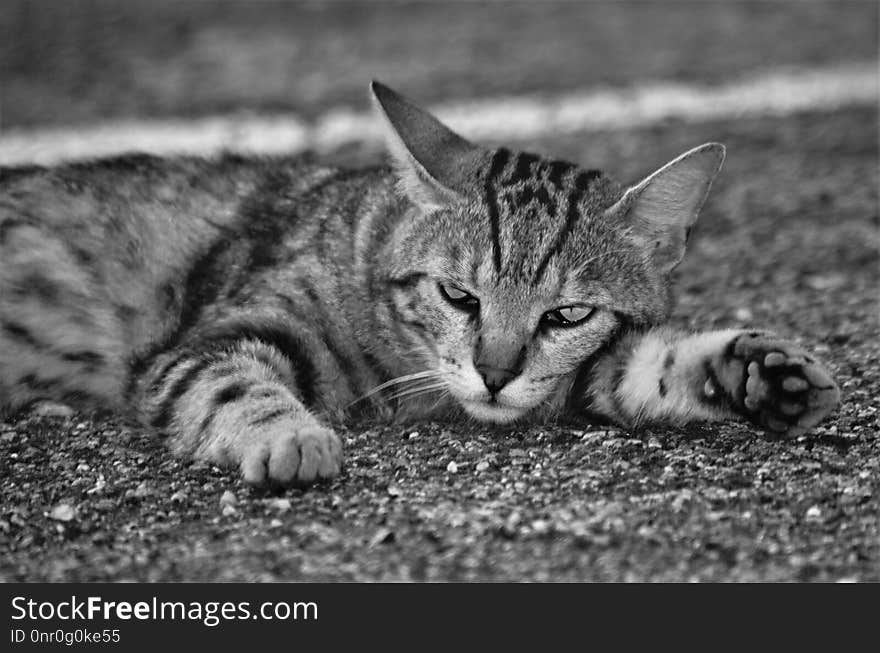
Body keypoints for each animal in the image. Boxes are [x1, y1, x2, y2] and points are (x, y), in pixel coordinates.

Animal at [0, 81, 840, 486]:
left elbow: (648, 364)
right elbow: (233, 381)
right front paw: (289, 435)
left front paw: (760, 371)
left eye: (567, 314)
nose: (494, 374)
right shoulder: (211, 338)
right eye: (459, 296)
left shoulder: (576, 372)